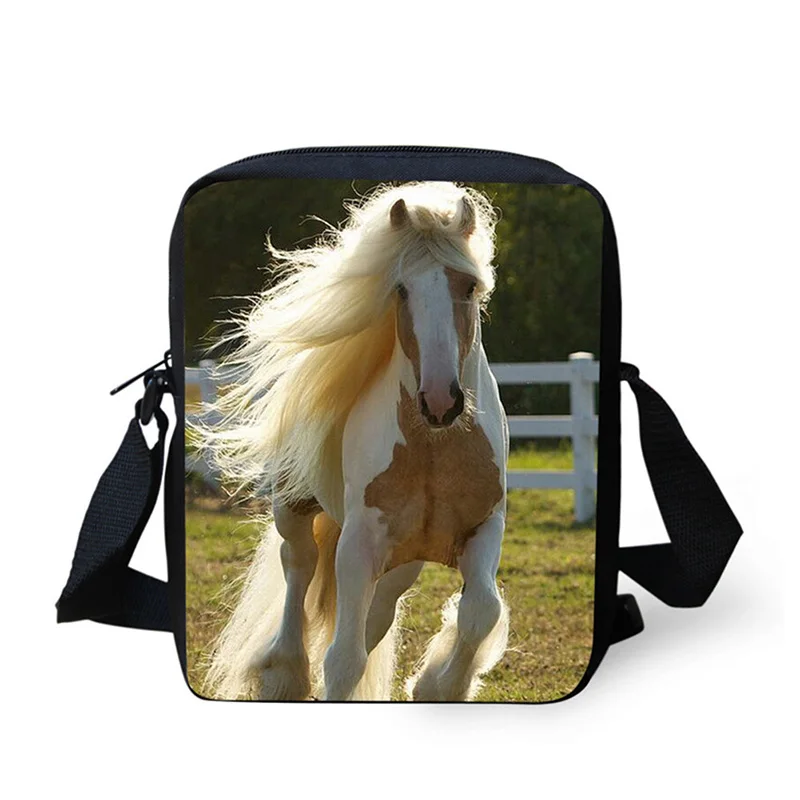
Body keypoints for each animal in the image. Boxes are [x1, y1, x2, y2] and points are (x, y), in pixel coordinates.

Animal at [200, 181, 510, 701]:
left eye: (468, 286)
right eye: (401, 288)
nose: (439, 400)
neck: (433, 450)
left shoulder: (484, 527)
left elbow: (480, 612)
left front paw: (436, 685)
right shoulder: (359, 542)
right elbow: (343, 659)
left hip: (401, 562)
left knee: (376, 613)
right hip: (294, 507)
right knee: (298, 565)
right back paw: (284, 673)